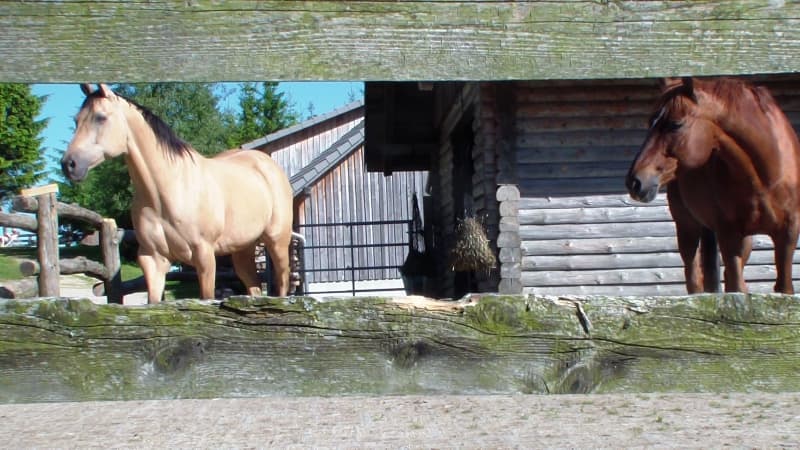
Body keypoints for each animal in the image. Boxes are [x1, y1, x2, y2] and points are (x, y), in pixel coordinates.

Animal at [61, 83, 294, 303]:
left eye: (101, 117)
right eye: (76, 120)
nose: (69, 164)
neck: (167, 191)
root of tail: (267, 163)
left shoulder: (204, 256)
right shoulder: (153, 259)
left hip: (277, 242)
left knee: (283, 284)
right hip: (242, 249)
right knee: (254, 288)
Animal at [626, 77, 800, 294]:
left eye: (675, 124)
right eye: (650, 122)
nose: (635, 181)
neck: (765, 179)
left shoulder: (787, 235)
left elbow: (783, 287)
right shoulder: (729, 237)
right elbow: (736, 289)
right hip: (687, 227)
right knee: (694, 279)